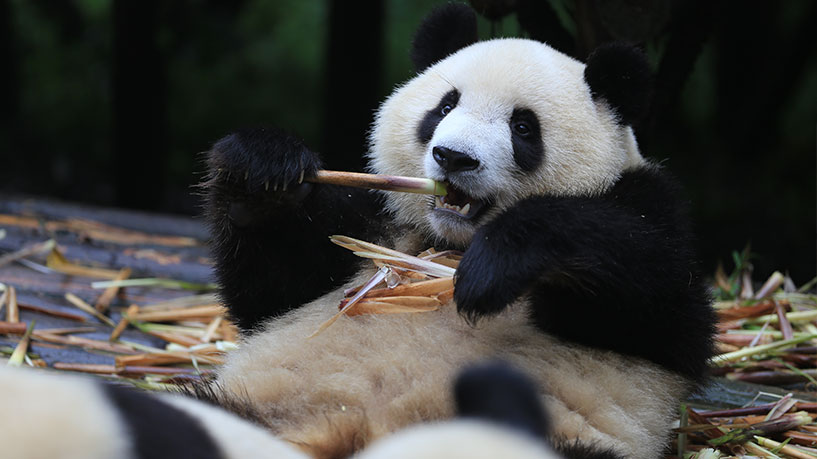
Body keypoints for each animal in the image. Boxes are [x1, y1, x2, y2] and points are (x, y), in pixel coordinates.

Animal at [202, 3, 712, 459]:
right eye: (445, 106)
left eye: (523, 127)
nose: (454, 157)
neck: (447, 241)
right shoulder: (380, 223)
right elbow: (274, 291)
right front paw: (263, 168)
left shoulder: (647, 207)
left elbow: (661, 295)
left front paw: (491, 270)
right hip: (257, 404)